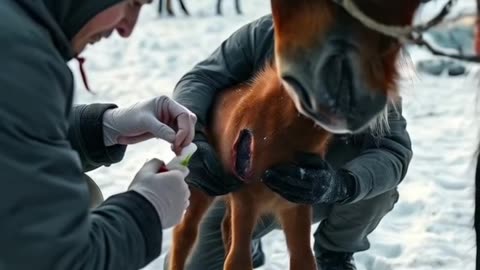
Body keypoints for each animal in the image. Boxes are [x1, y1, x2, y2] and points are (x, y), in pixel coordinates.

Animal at [168, 0, 424, 270]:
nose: (382, 103)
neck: (280, 133)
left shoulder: (296, 205)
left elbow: (303, 258)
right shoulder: (246, 202)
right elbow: (237, 259)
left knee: (223, 228)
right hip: (202, 190)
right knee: (185, 233)